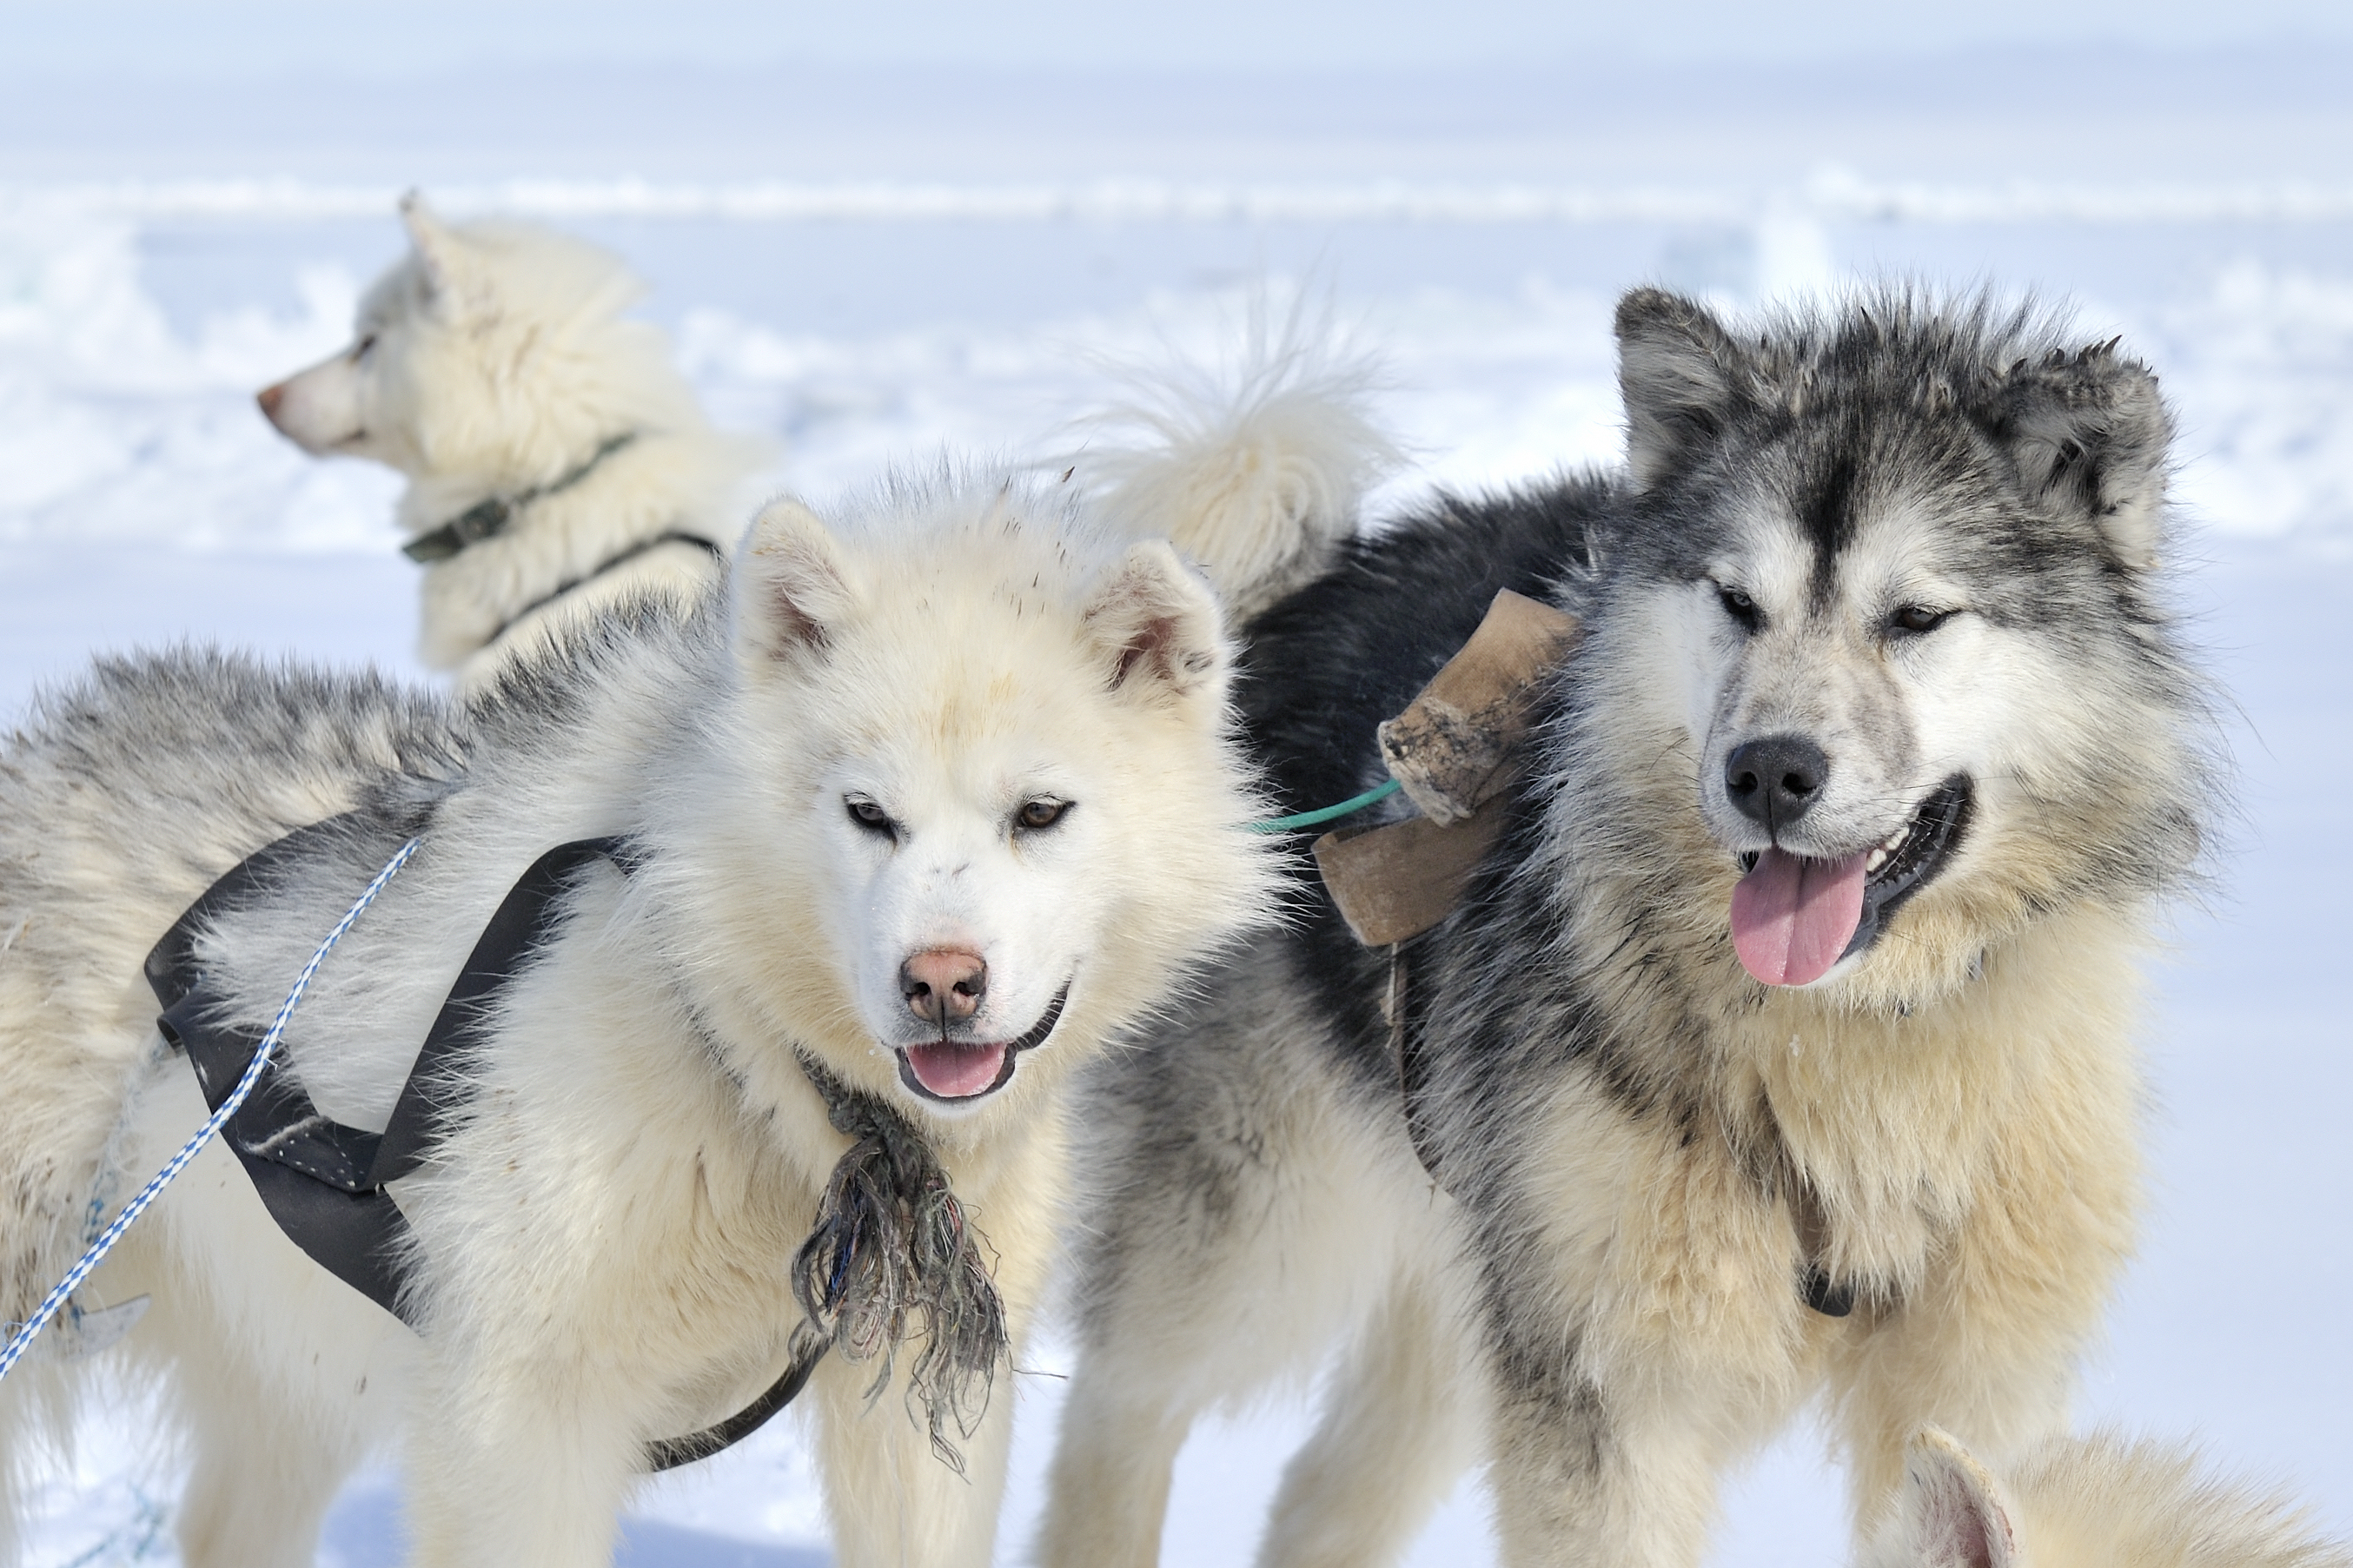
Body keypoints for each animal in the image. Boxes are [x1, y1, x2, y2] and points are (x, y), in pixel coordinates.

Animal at [0, 434, 1345, 1560]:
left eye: (1041, 811)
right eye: (868, 812)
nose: (941, 982)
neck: (752, 1064)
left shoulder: (917, 1410)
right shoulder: (518, 1421)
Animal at [1035, 285, 2221, 1568]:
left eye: (1916, 617)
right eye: (1736, 602)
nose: (1768, 771)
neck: (1851, 1051)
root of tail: (1288, 602)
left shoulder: (1974, 1379)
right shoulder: (1610, 1396)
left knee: (1322, 1492)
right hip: (1264, 1231)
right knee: (1118, 1410)